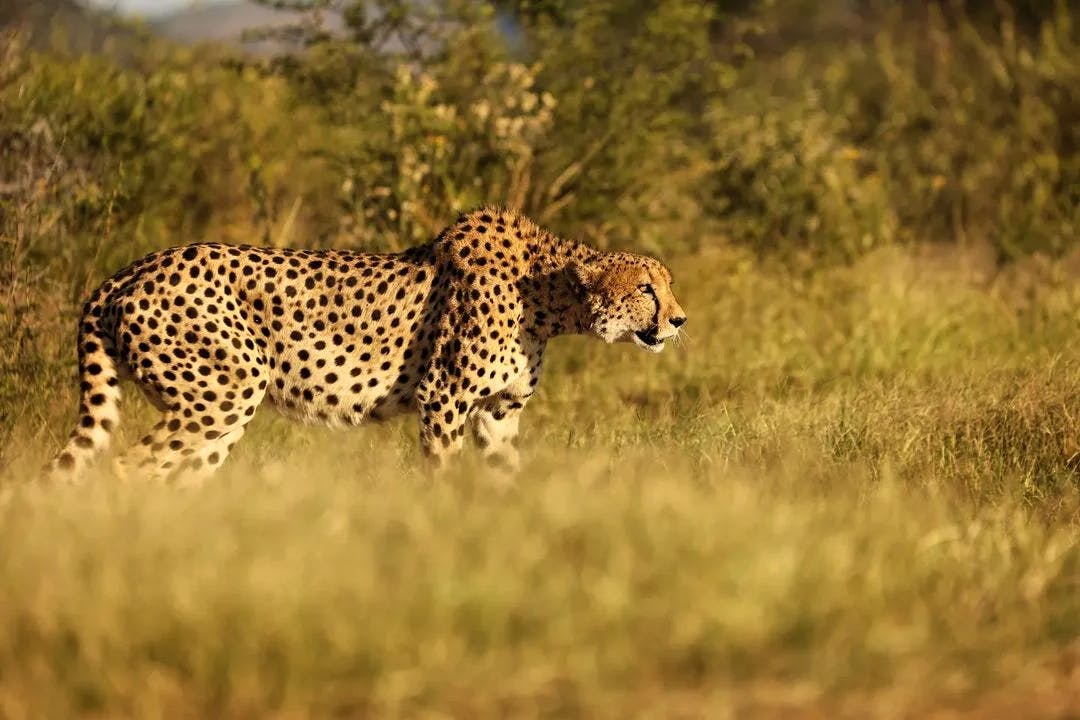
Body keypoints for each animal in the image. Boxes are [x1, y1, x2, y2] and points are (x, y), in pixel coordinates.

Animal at [46, 208, 686, 483]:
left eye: (667, 283)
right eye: (645, 288)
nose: (679, 320)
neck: (549, 296)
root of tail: (129, 270)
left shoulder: (497, 414)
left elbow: (507, 477)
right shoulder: (443, 400)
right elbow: (441, 472)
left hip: (215, 413)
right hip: (224, 392)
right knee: (127, 467)